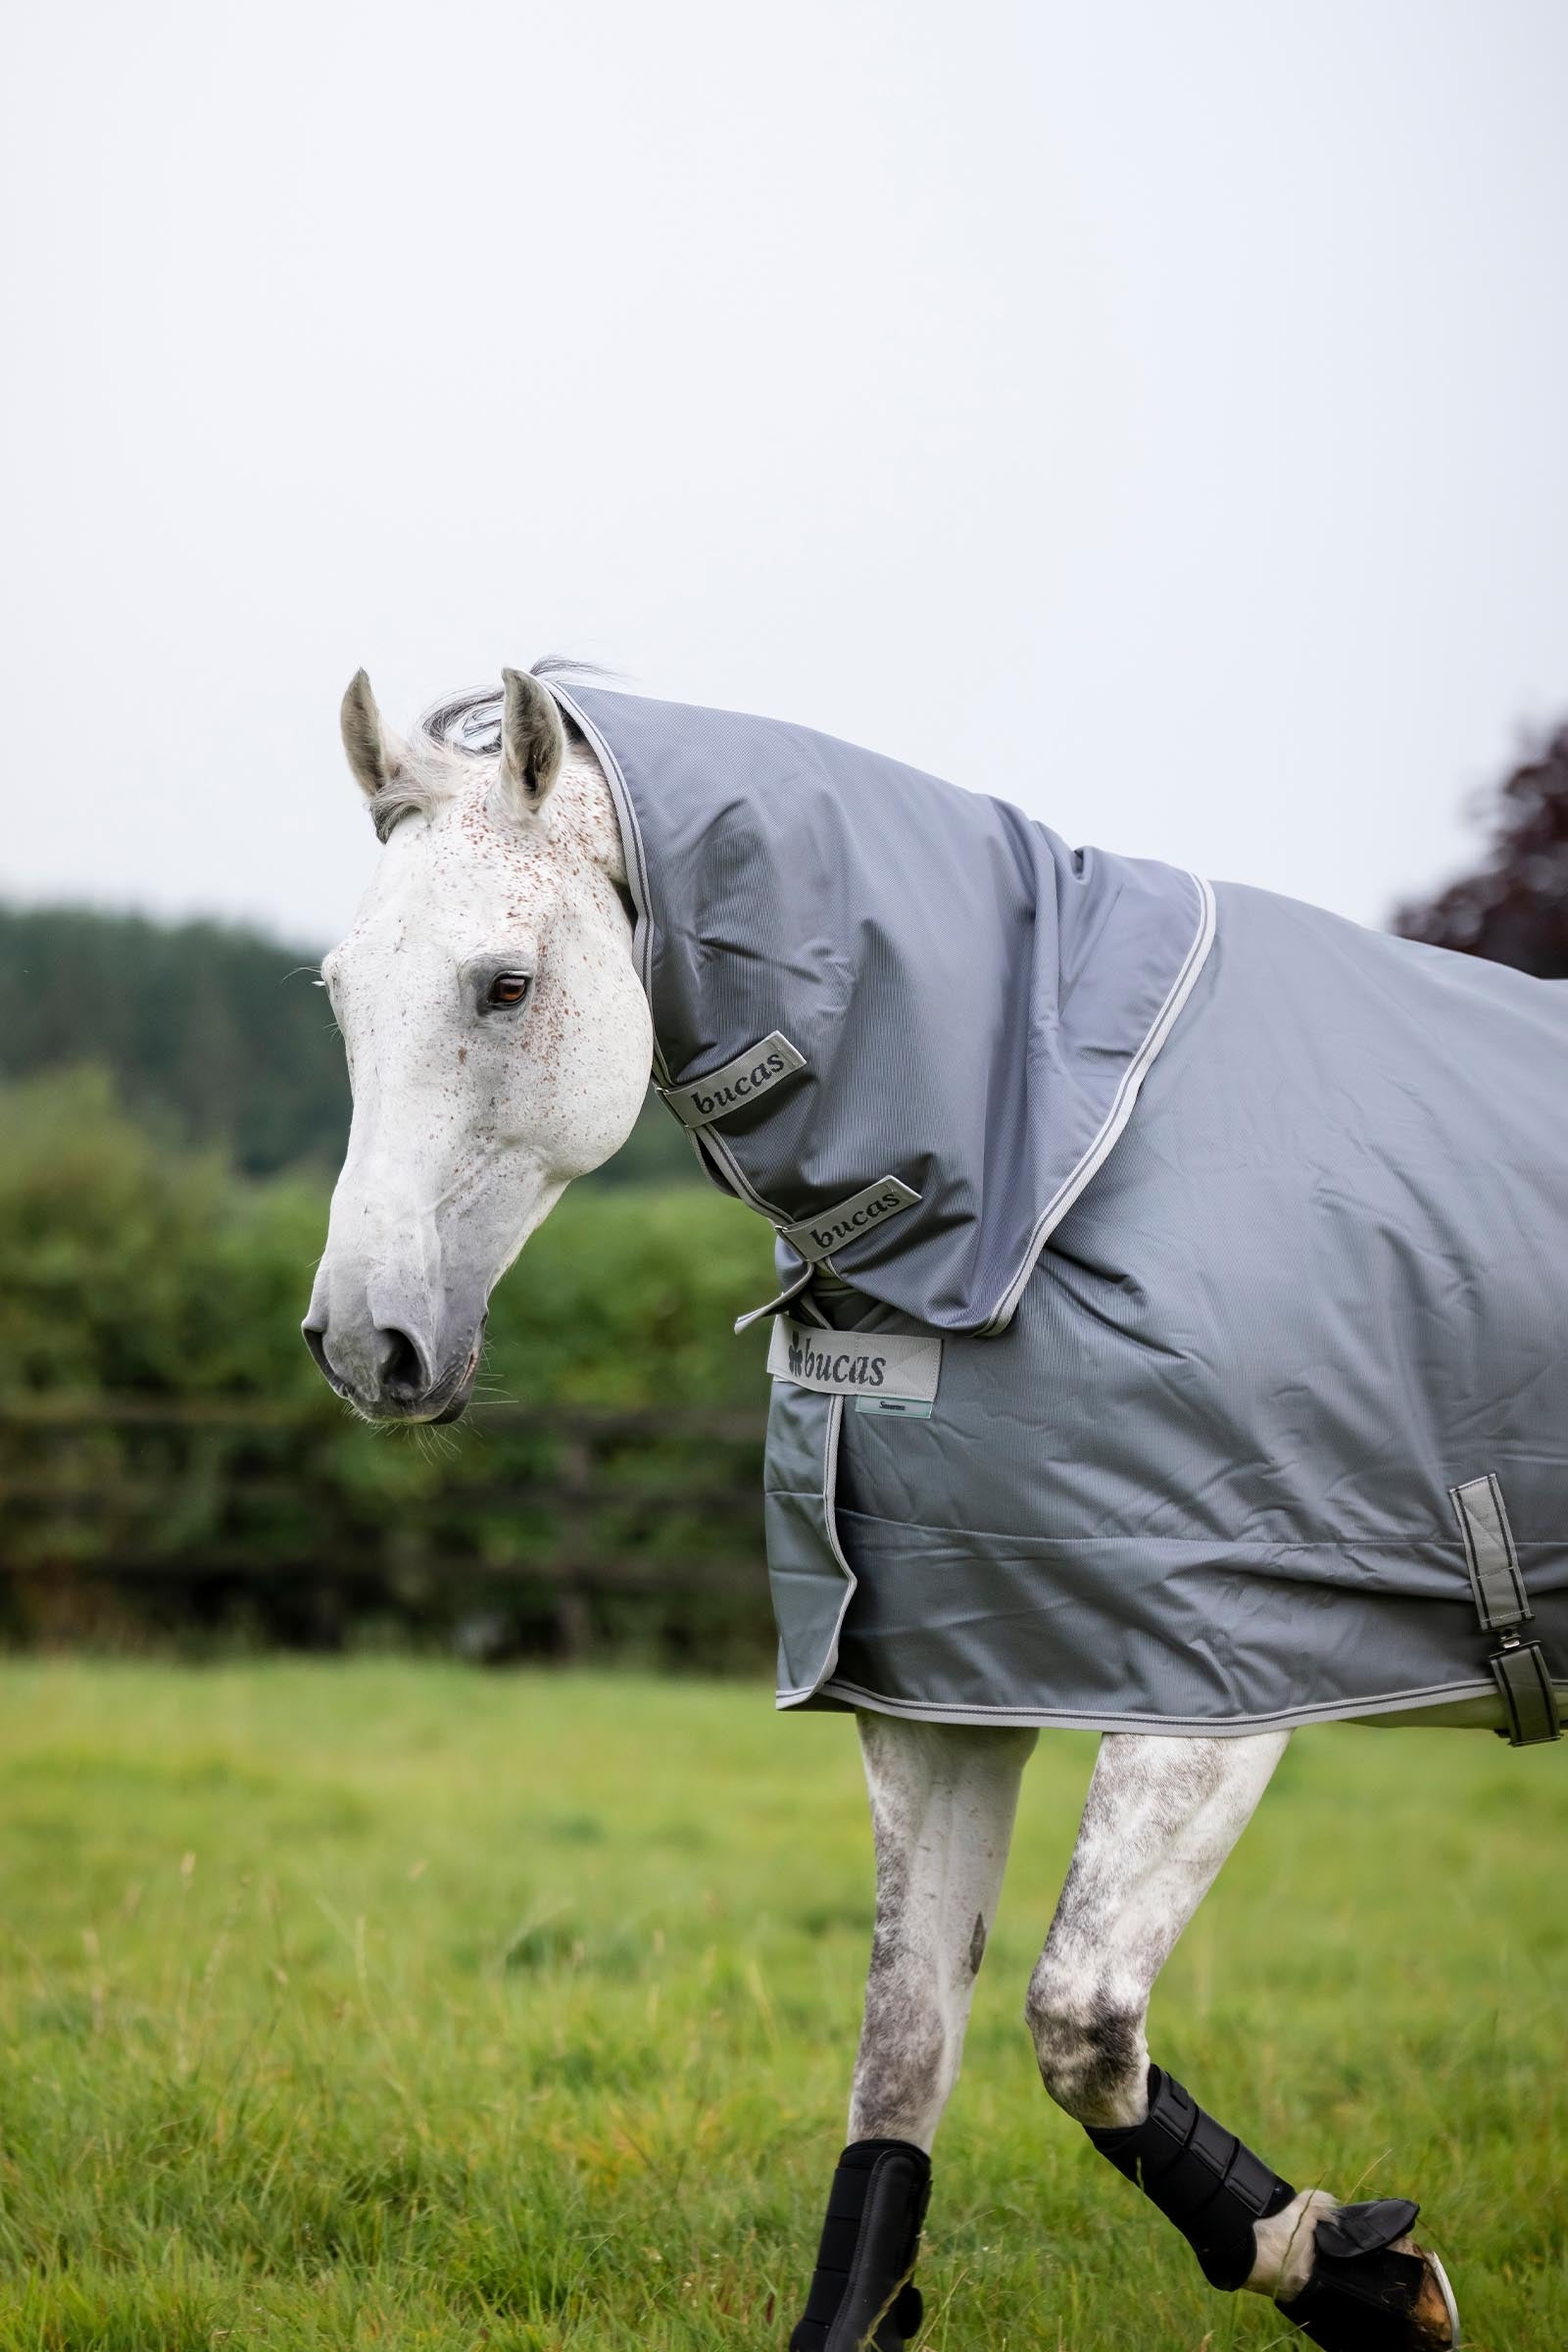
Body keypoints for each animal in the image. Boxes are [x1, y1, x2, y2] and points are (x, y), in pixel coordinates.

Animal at [305, 661, 1564, 2350]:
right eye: (337, 995)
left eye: (503, 987)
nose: (362, 1344)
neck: (1042, 1182)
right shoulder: (939, 1694)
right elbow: (905, 2056)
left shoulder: (1216, 1694)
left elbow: (1080, 2026)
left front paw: (1360, 2276)